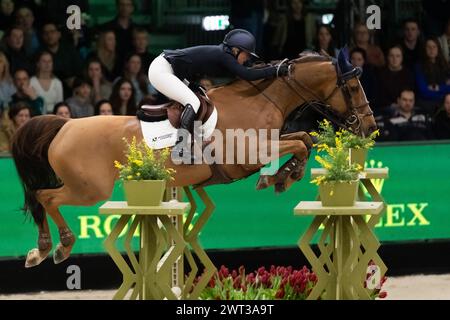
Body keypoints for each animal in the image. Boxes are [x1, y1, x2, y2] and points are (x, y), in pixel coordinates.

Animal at [11, 50, 376, 266]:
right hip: (89, 189)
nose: (370, 126)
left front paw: (283, 176)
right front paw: (279, 177)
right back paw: (57, 247)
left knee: (42, 198)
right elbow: (301, 144)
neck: (261, 99)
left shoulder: (269, 142)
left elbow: (303, 139)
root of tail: (64, 125)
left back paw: (42, 249)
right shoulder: (251, 153)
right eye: (352, 87)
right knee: (46, 197)